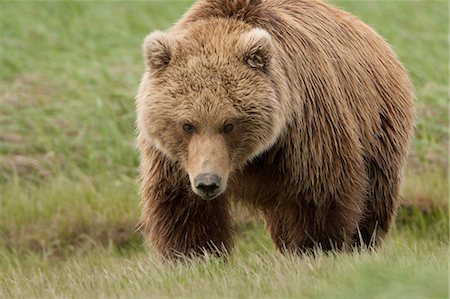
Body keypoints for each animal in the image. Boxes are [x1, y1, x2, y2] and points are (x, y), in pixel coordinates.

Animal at [136, 0, 414, 258]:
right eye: (187, 125)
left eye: (229, 124)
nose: (208, 182)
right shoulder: (175, 158)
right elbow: (182, 204)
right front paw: (195, 254)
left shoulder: (304, 126)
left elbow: (319, 189)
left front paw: (316, 247)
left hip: (377, 125)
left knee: (375, 196)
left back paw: (362, 243)